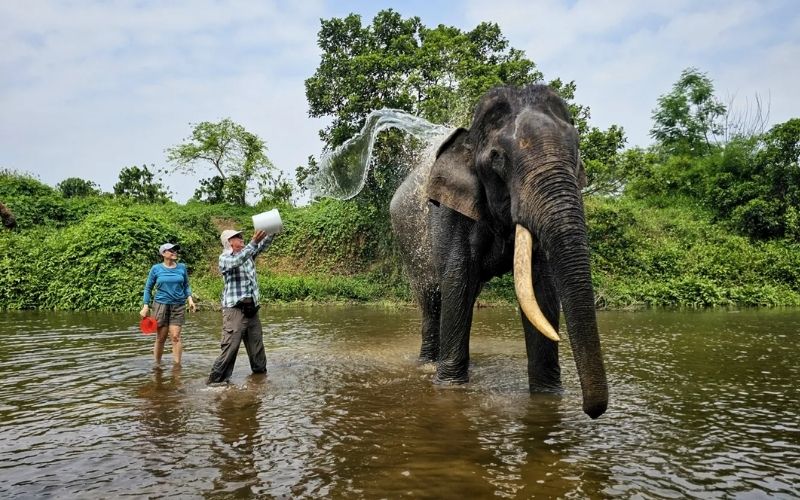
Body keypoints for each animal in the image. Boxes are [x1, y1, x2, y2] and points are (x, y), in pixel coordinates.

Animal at [390, 84, 608, 419]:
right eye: (498, 159)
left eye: (576, 151)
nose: (593, 412)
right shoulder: (451, 211)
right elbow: (457, 279)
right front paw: (450, 387)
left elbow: (541, 289)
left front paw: (548, 395)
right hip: (409, 243)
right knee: (434, 299)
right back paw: (428, 363)